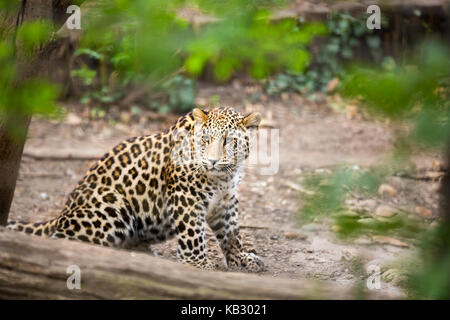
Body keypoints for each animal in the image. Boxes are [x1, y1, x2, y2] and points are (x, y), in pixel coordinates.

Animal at [7, 106, 266, 272]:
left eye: (229, 142)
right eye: (206, 140)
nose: (212, 161)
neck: (223, 177)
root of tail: (62, 214)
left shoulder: (226, 200)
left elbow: (232, 233)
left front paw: (242, 259)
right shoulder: (186, 197)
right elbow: (193, 233)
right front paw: (198, 264)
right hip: (111, 204)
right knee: (63, 240)